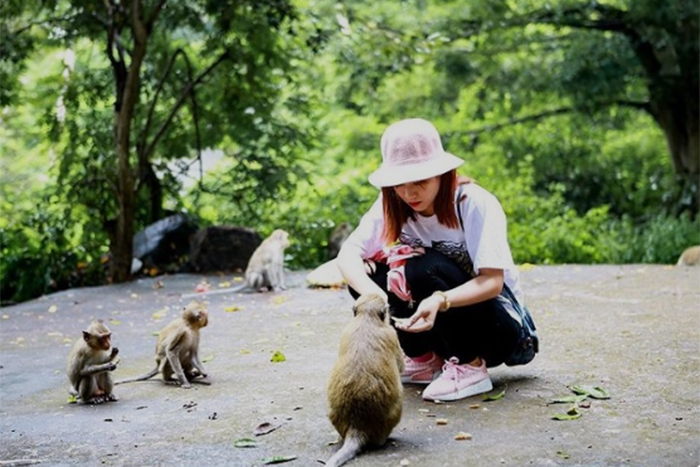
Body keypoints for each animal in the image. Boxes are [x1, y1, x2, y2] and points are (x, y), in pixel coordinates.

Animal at [324, 294, 402, 466]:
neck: (367, 318)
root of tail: (357, 425)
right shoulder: (391, 334)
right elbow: (401, 367)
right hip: (387, 420)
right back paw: (383, 440)